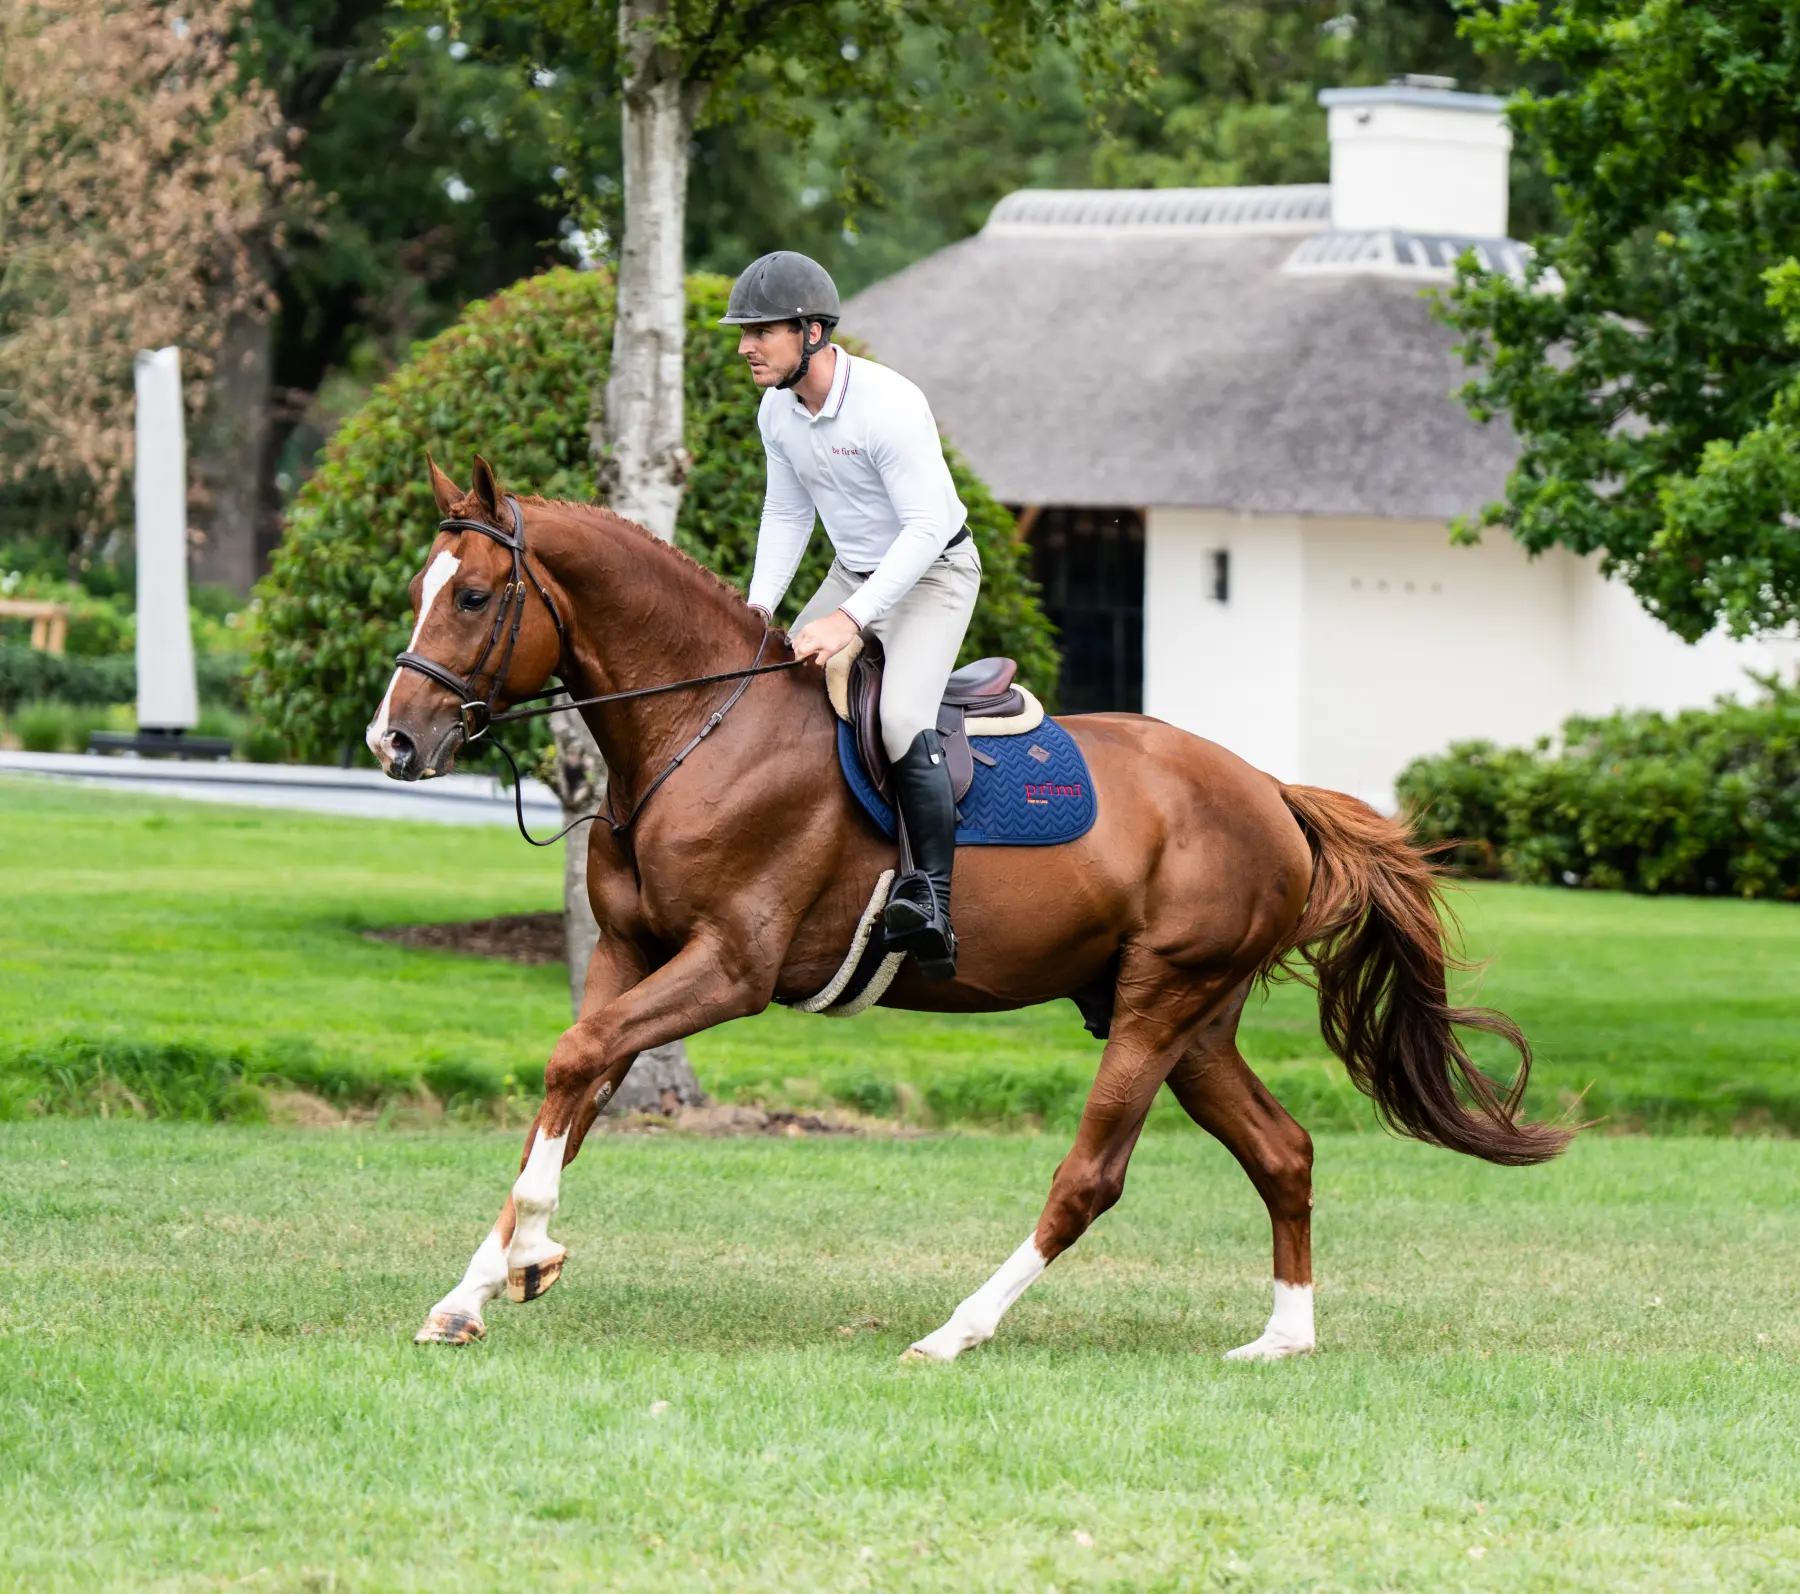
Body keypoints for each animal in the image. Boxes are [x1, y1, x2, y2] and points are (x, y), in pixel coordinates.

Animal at [368, 455, 1571, 1361]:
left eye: (472, 595)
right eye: (420, 584)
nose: (394, 742)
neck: (699, 729)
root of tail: (1270, 791)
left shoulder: (729, 968)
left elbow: (575, 1066)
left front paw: (528, 1256)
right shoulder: (629, 955)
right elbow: (571, 1093)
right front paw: (476, 1290)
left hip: (1161, 1000)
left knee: (1092, 1177)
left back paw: (956, 1331)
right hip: (1191, 1020)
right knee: (1284, 1152)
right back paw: (1284, 1338)